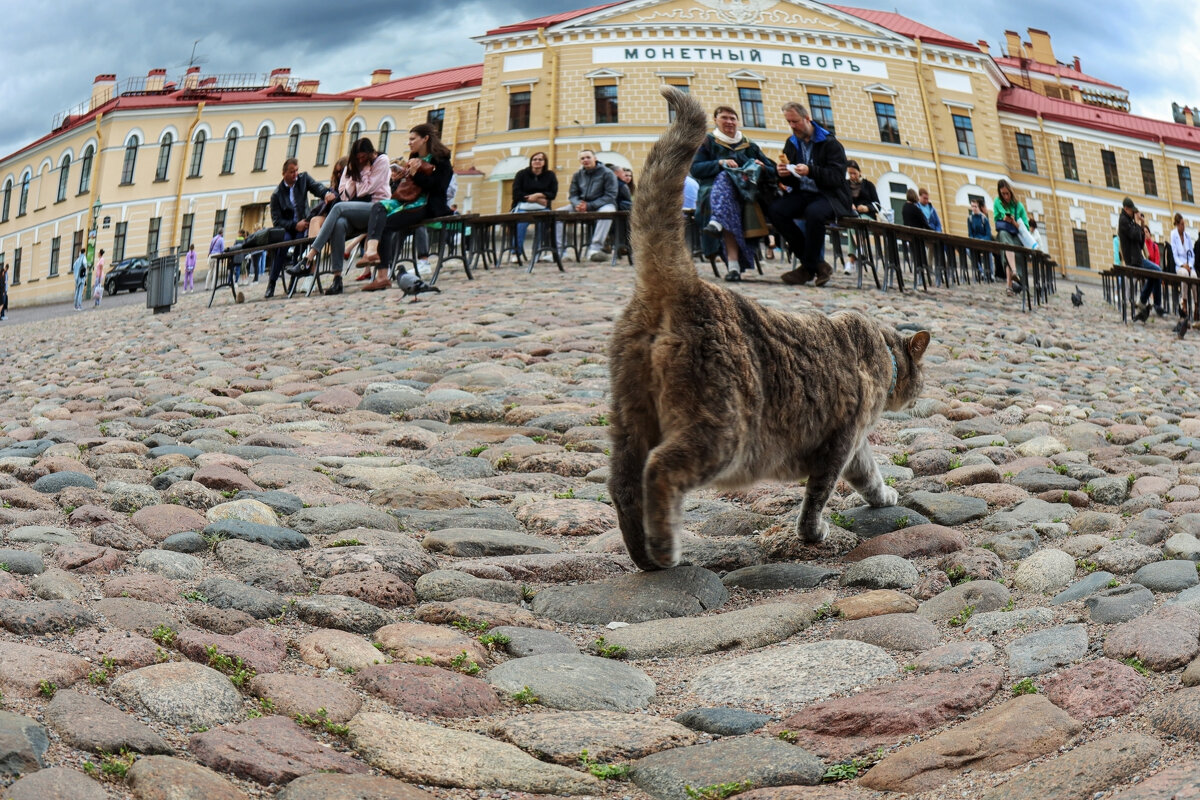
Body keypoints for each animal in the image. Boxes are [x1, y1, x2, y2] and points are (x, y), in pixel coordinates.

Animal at [604, 87, 931, 573]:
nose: (919, 396)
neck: (880, 350)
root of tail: (681, 281)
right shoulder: (841, 439)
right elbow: (819, 494)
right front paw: (813, 533)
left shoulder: (854, 445)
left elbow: (869, 476)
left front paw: (885, 495)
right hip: (722, 431)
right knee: (660, 468)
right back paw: (665, 550)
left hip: (631, 417)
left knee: (622, 484)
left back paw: (644, 556)